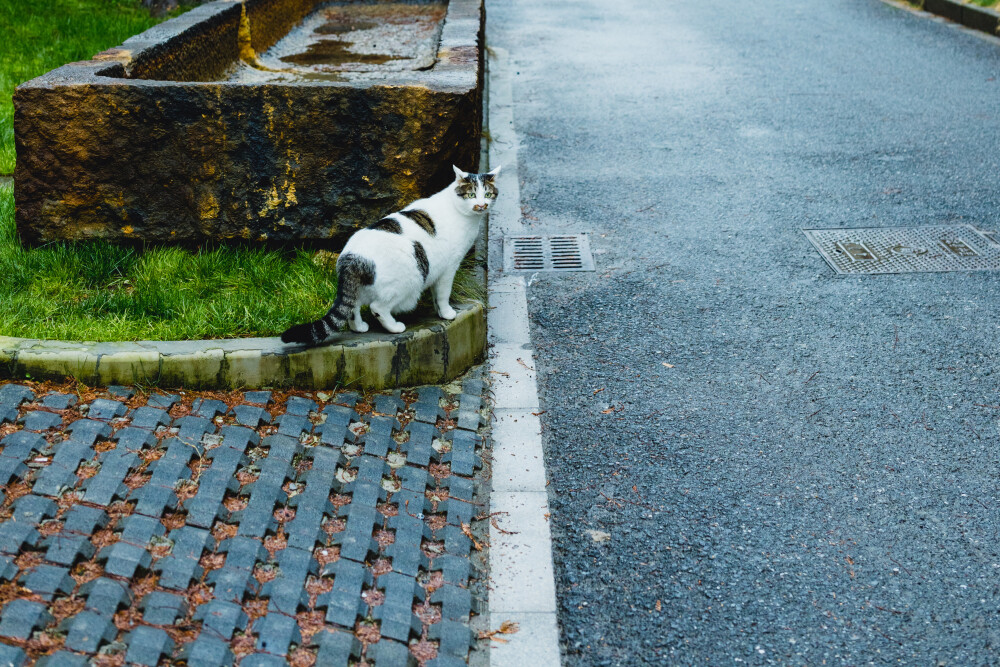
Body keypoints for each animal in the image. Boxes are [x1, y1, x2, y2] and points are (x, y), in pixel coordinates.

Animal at [280, 164, 500, 348]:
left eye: (488, 194)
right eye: (471, 194)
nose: (482, 205)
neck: (459, 210)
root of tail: (352, 257)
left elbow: (436, 295)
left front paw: (439, 311)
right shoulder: (449, 268)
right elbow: (443, 294)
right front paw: (446, 313)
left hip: (364, 287)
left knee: (353, 306)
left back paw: (359, 327)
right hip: (408, 282)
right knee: (377, 307)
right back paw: (394, 327)